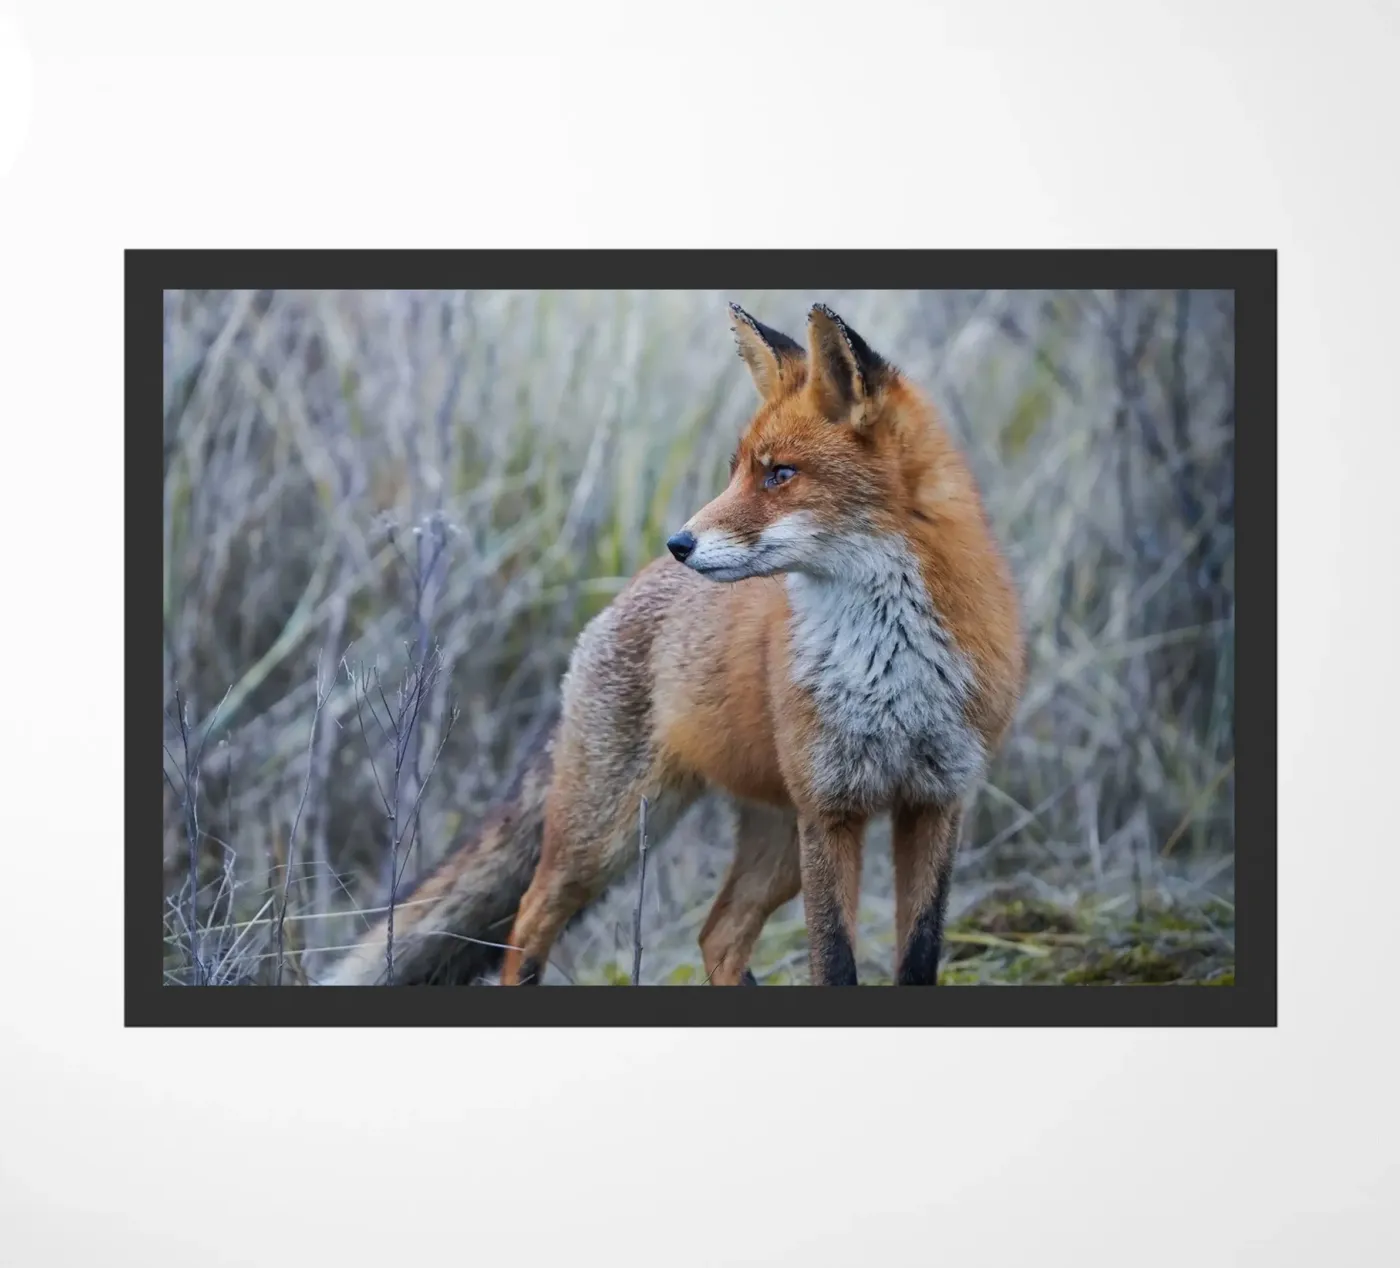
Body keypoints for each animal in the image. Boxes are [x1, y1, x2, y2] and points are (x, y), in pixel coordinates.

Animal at [325, 302, 1024, 988]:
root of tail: (622, 595)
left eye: (780, 474)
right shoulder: (830, 810)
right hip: (607, 835)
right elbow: (834, 962)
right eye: (739, 472)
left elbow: (920, 956)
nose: (679, 543)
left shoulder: (936, 802)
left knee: (717, 935)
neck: (888, 665)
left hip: (776, 840)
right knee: (528, 920)